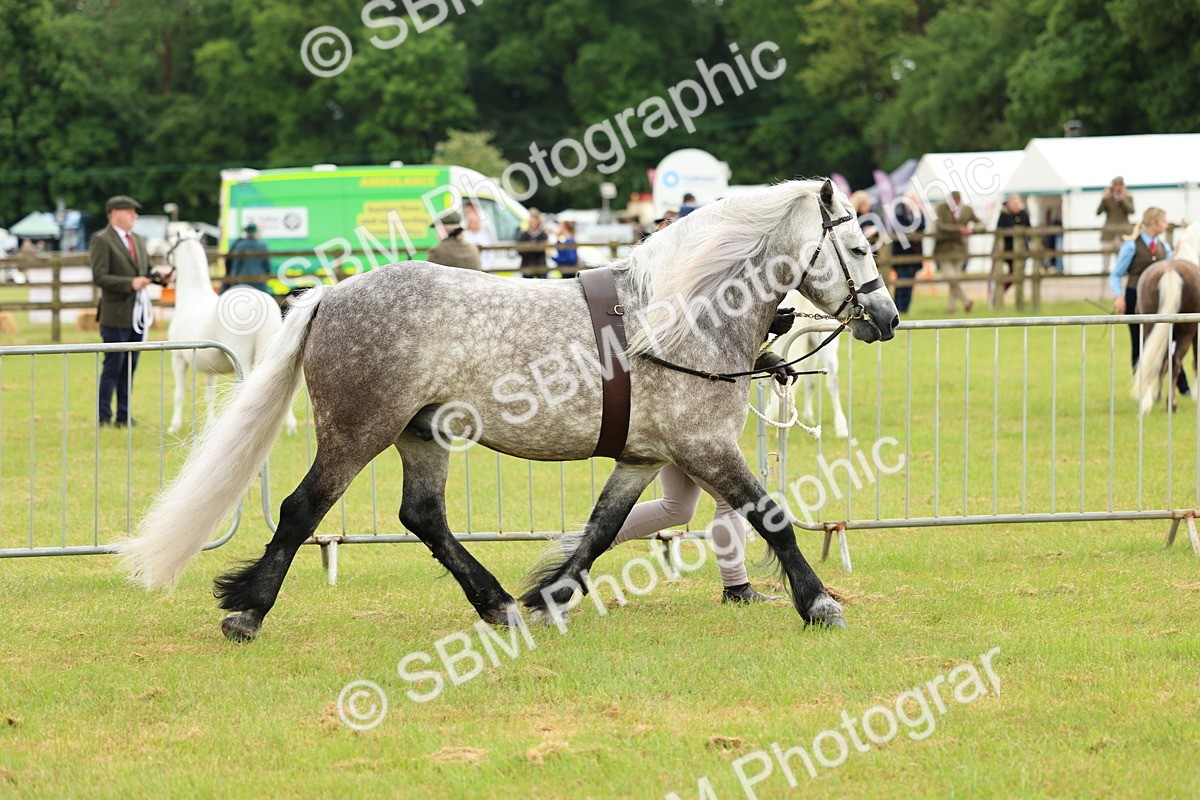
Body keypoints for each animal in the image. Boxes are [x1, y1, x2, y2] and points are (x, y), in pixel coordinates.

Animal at [161, 231, 298, 436]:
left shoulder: (177, 359)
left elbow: (179, 394)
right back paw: (290, 427)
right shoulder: (209, 366)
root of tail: (261, 303)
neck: (192, 297)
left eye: (170, 245)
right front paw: (211, 425)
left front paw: (173, 426)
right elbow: (209, 395)